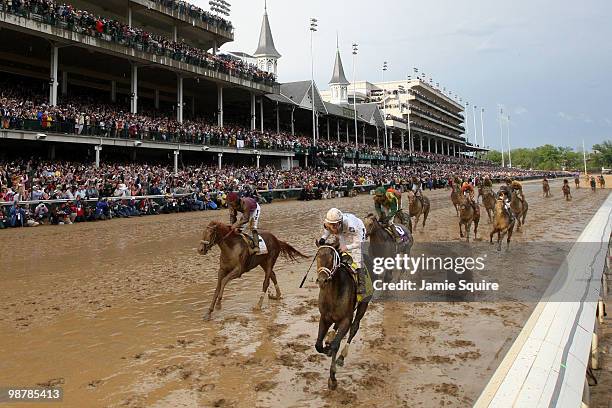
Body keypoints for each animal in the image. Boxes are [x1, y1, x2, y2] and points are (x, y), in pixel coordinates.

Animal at [316, 244, 368, 390]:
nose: (322, 280)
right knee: (335, 326)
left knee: (354, 328)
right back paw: (329, 338)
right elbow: (318, 345)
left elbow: (336, 345)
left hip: (363, 305)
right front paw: (326, 346)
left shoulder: (346, 320)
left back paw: (341, 357)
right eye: (317, 256)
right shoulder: (324, 318)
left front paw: (333, 379)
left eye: (332, 259)